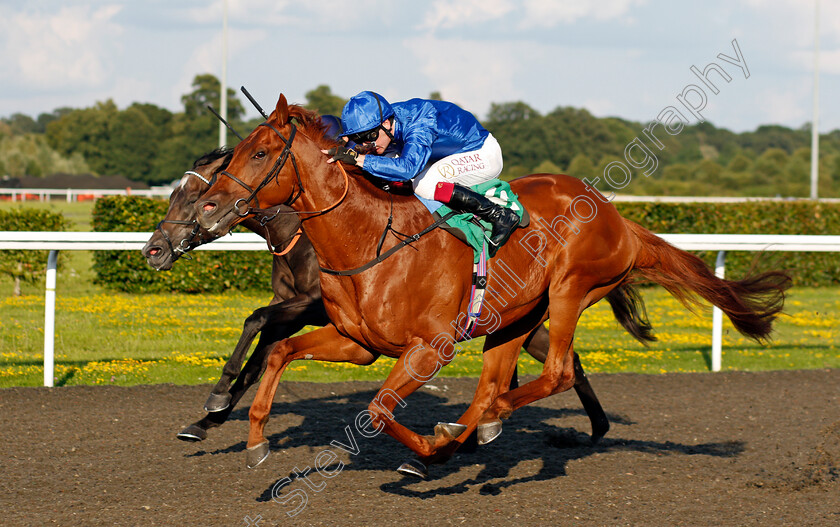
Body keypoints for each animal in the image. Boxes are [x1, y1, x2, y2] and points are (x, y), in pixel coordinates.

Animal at [143, 150, 636, 450]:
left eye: (195, 196)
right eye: (176, 193)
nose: (154, 250)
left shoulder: (308, 306)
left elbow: (255, 321)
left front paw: (216, 399)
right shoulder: (304, 311)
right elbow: (262, 350)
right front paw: (208, 418)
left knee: (565, 360)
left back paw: (588, 428)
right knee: (557, 358)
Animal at [194, 95, 792, 478]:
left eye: (260, 153)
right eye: (234, 151)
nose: (208, 206)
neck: (370, 242)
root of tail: (619, 218)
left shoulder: (427, 349)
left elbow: (380, 409)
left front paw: (427, 449)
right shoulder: (358, 343)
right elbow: (279, 353)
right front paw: (253, 441)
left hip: (571, 289)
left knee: (554, 372)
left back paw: (476, 428)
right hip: (516, 317)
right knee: (492, 385)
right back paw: (471, 431)